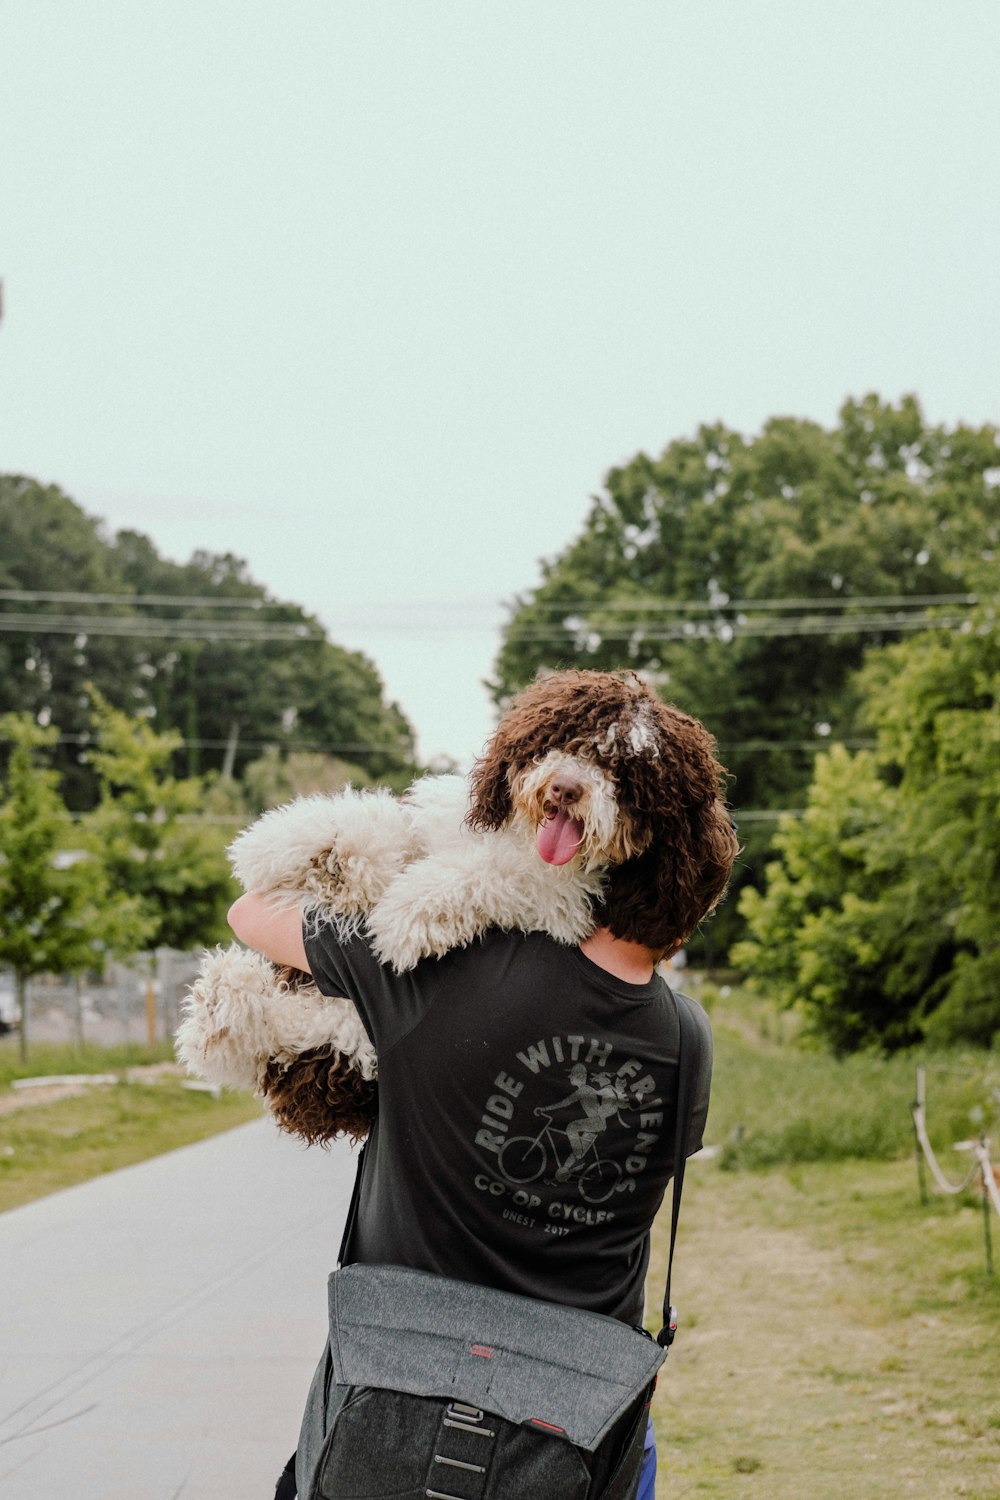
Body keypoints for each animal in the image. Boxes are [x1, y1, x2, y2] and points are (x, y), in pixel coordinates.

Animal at [176, 666, 740, 1134]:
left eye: (626, 777)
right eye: (568, 739)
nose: (565, 789)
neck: (520, 839)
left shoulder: (564, 901)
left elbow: (489, 875)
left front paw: (407, 911)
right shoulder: (438, 826)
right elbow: (389, 830)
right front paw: (309, 848)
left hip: (349, 1036)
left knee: (313, 1033)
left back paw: (221, 1010)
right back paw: (223, 1000)